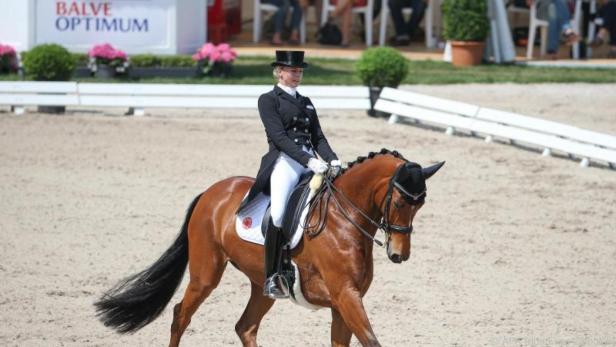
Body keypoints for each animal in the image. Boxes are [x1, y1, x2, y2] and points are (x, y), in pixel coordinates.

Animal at [95, 148, 442, 346]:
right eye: (399, 201)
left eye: (422, 204)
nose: (399, 254)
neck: (343, 218)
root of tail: (211, 191)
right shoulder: (345, 296)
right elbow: (371, 341)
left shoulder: (345, 302)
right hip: (206, 274)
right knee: (181, 315)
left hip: (261, 285)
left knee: (245, 328)